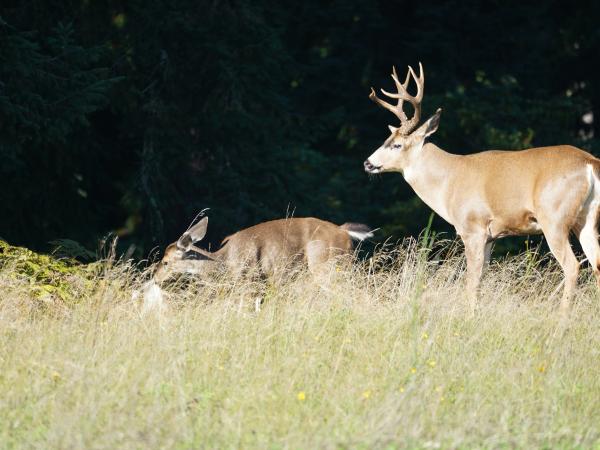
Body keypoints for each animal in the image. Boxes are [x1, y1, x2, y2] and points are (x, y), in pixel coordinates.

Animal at [143, 215, 372, 310]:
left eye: (165, 262)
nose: (155, 278)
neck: (225, 262)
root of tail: (344, 232)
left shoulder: (251, 283)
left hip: (328, 266)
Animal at [360, 62, 600, 310]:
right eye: (386, 140)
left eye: (397, 145)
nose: (367, 163)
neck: (449, 180)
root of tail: (589, 162)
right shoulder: (491, 236)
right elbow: (481, 279)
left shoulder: (472, 227)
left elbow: (472, 282)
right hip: (586, 219)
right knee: (596, 264)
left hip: (554, 218)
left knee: (573, 266)